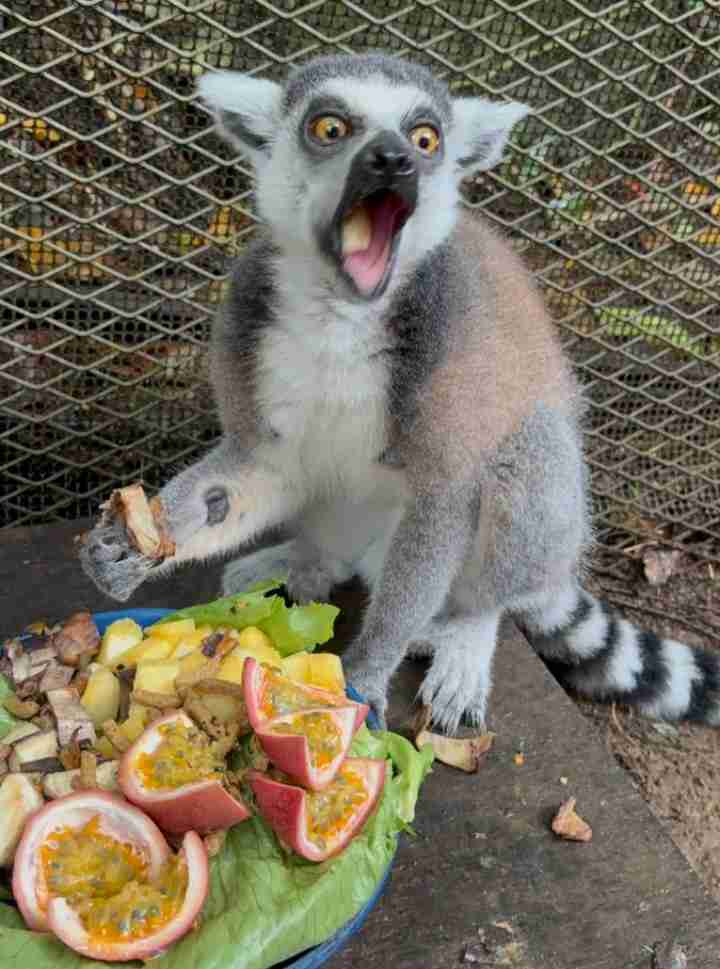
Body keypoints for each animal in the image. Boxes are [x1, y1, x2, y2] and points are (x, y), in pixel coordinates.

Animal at [80, 52, 720, 736]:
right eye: (330, 128)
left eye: (425, 138)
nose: (393, 159)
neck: (341, 314)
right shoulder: (249, 324)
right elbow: (259, 464)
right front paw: (127, 547)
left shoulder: (451, 358)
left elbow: (444, 496)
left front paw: (365, 673)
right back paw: (305, 562)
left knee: (528, 456)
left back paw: (464, 632)